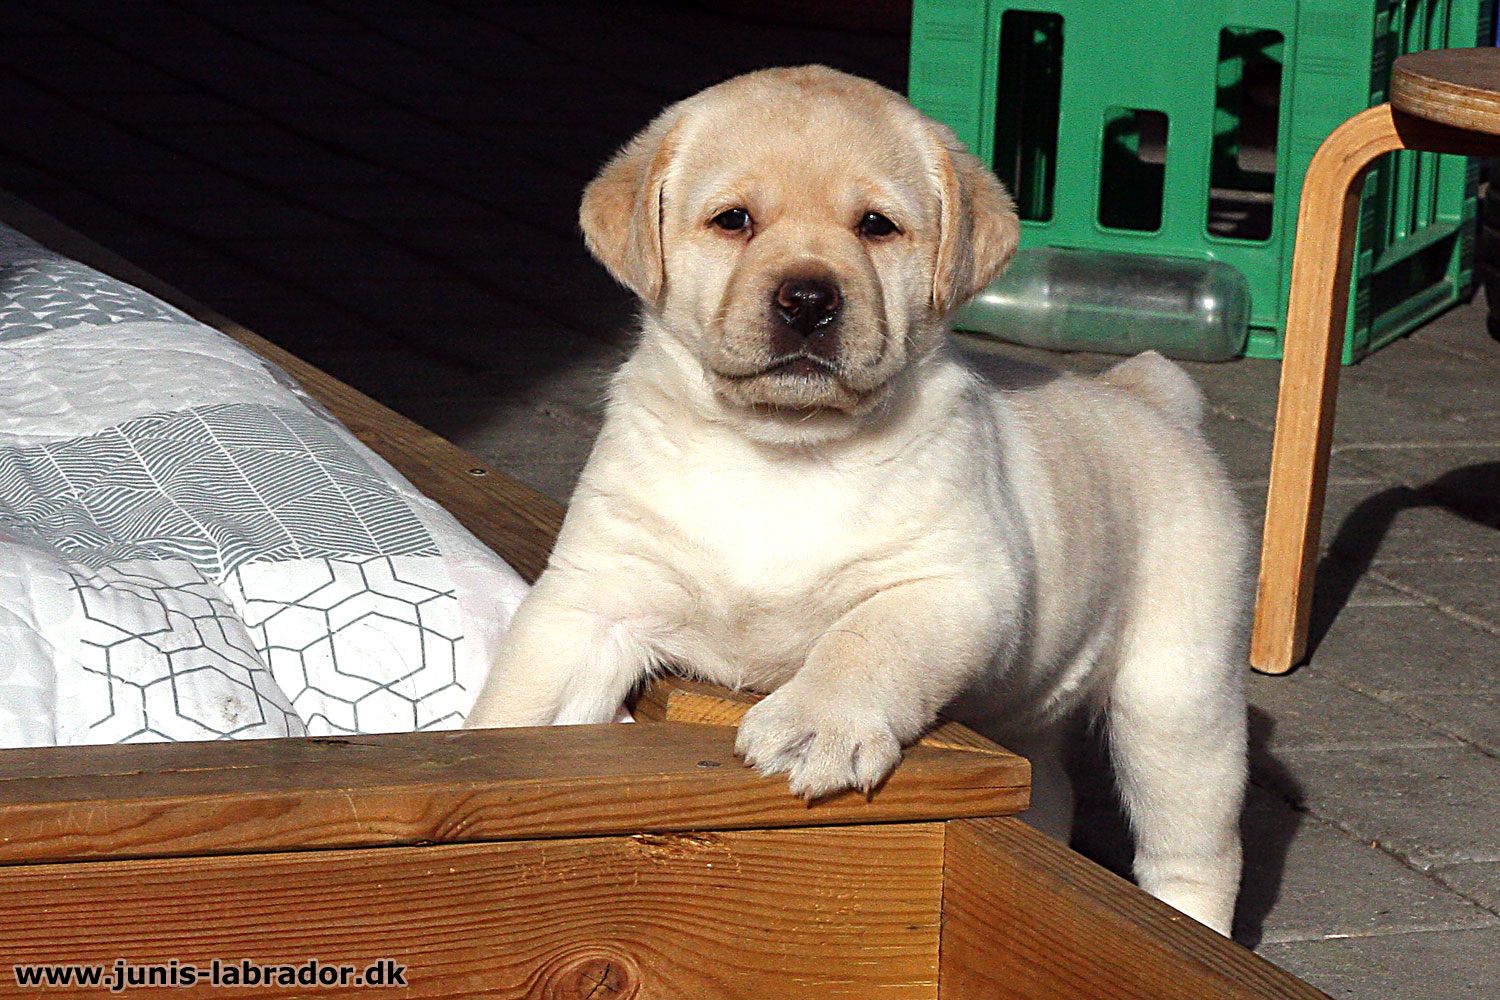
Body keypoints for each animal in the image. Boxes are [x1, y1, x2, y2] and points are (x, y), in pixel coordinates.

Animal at [474, 68, 1248, 941]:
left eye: (876, 226)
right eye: (734, 219)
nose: (808, 298)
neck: (780, 454)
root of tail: (1148, 394)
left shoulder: (953, 585)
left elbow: (865, 639)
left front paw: (817, 724)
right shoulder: (596, 596)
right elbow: (521, 698)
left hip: (1178, 692)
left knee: (1194, 847)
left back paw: (1196, 923)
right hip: (1036, 710)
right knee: (1048, 786)